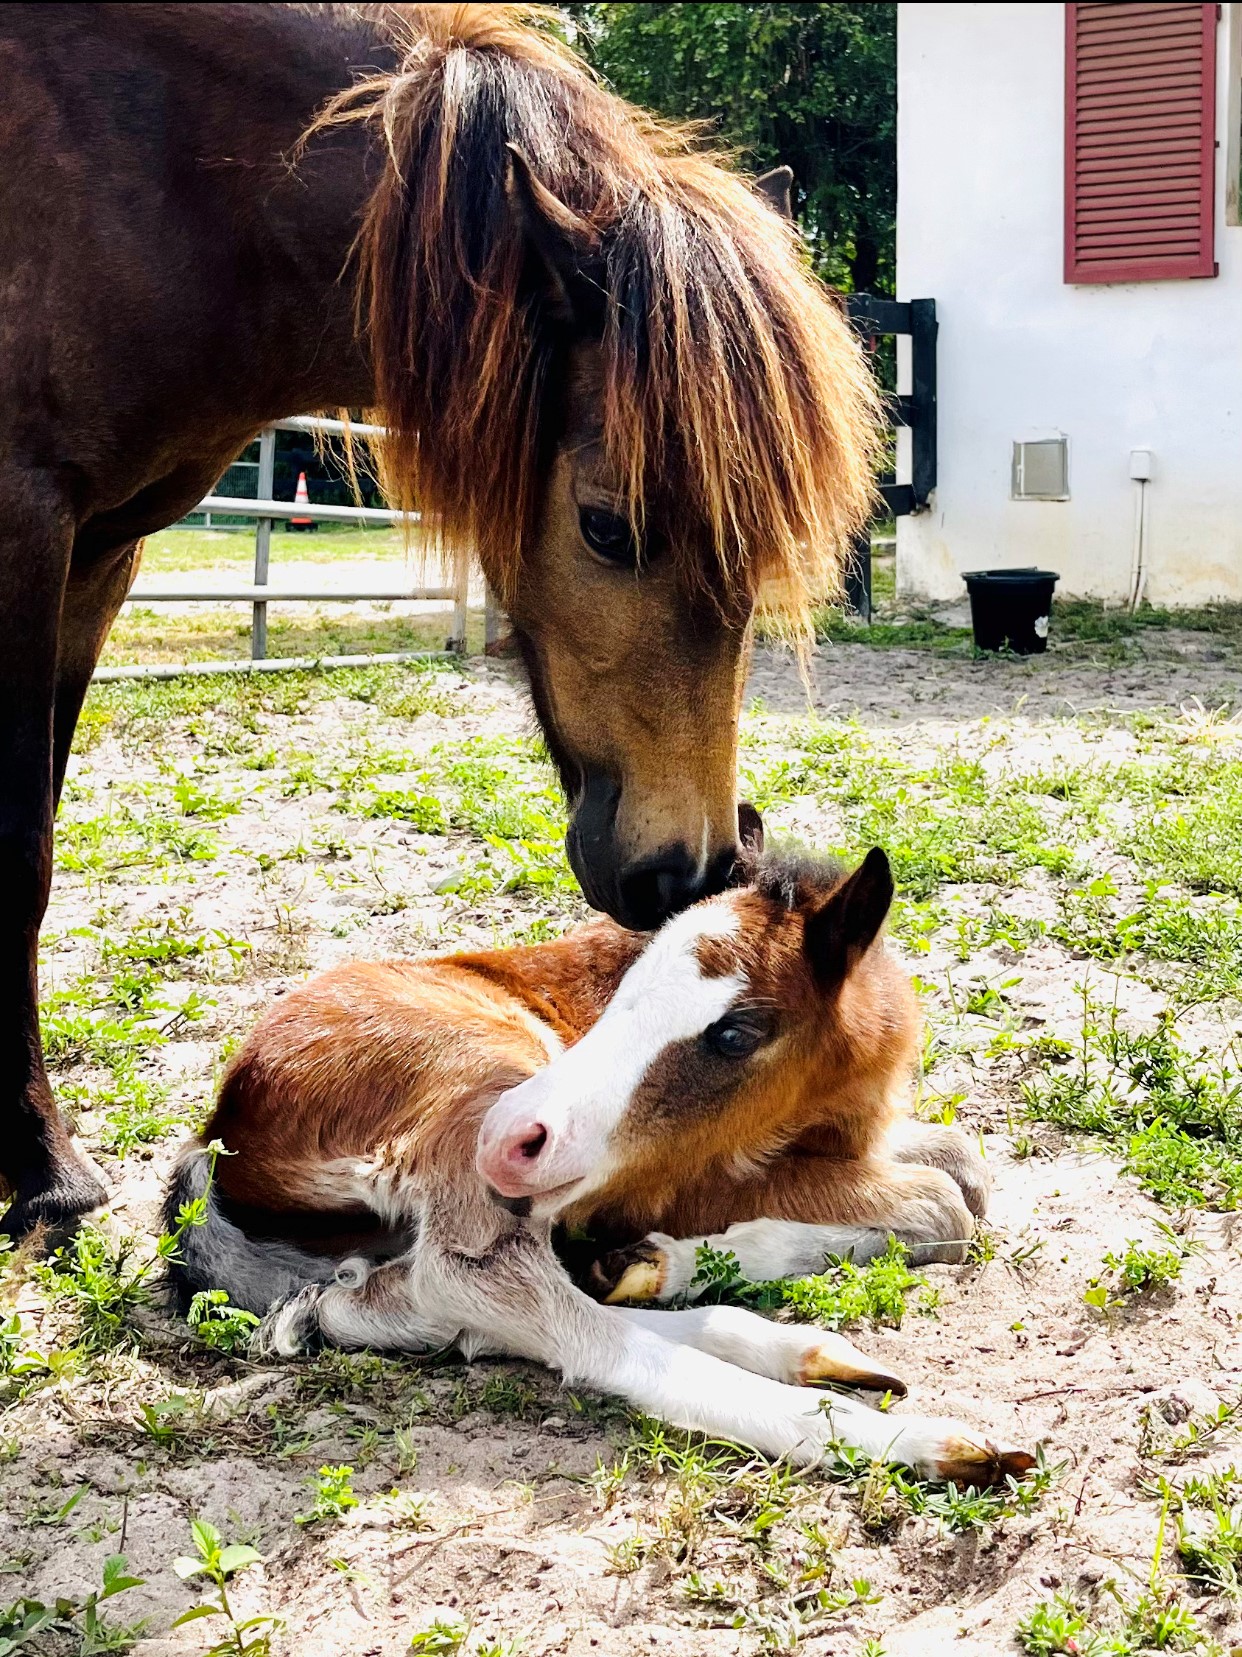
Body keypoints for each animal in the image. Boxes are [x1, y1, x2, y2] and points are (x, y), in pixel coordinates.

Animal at [0, 3, 880, 1246]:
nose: (689, 871)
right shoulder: (25, 523)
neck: (169, 174)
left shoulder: (100, 558)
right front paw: (45, 1166)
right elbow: (17, 857)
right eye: (607, 525)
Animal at [168, 848, 1039, 1484]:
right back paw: (922, 1440)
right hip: (487, 1085)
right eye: (621, 995)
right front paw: (664, 1254)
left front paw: (641, 1262)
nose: (504, 1134)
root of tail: (221, 1138)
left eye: (736, 1032)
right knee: (486, 1288)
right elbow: (945, 1204)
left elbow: (963, 1165)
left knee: (388, 1303)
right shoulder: (672, 1179)